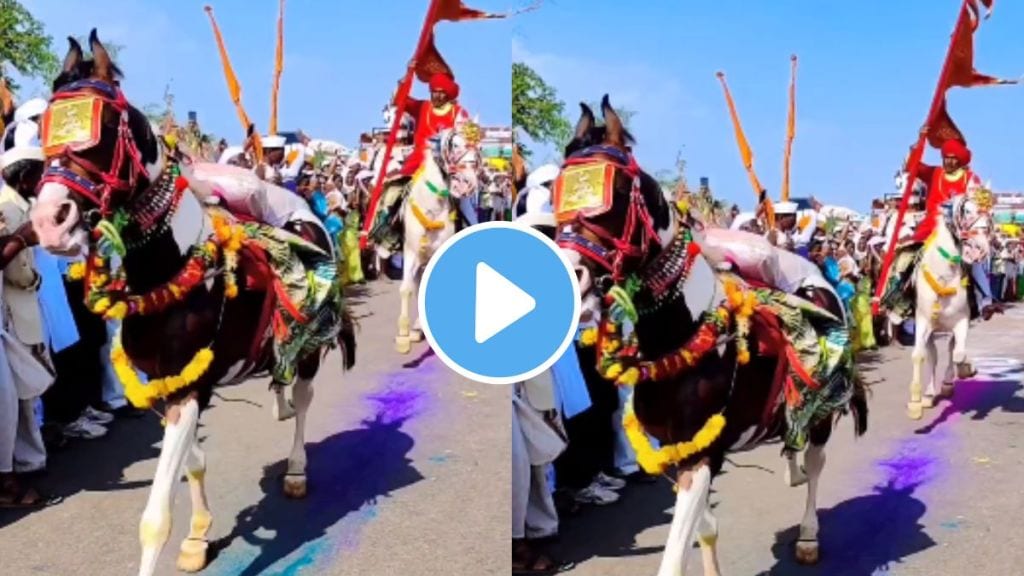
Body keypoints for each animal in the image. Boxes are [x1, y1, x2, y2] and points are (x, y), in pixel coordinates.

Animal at [29, 32, 356, 573]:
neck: (169, 272)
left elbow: (155, 517)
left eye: (106, 125)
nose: (49, 222)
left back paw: (295, 470)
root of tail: (304, 211)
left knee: (306, 399)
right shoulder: (168, 387)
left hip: (311, 344)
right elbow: (191, 462)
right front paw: (199, 534)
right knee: (282, 380)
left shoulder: (188, 388)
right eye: (43, 129)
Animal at [395, 126, 483, 352]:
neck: (431, 205)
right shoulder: (411, 251)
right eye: (455, 145)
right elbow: (406, 289)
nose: (470, 183)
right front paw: (404, 335)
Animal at [557, 96, 868, 569]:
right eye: (559, 190)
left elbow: (672, 556)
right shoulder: (678, 452)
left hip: (823, 409)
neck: (679, 340)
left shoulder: (702, 454)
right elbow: (705, 528)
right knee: (794, 441)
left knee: (815, 462)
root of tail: (816, 278)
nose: (571, 276)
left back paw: (808, 534)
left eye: (618, 194)